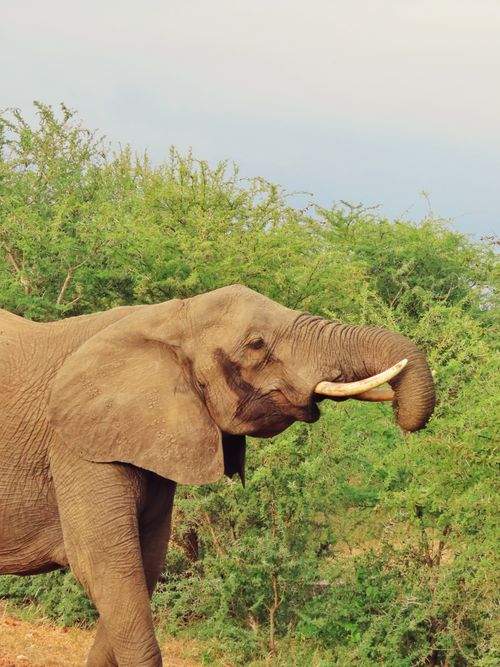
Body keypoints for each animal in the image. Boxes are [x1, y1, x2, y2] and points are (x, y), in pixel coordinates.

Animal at [0, 284, 435, 666]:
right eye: (257, 343)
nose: (400, 413)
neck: (166, 318)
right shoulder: (76, 446)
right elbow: (106, 566)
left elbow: (144, 565)